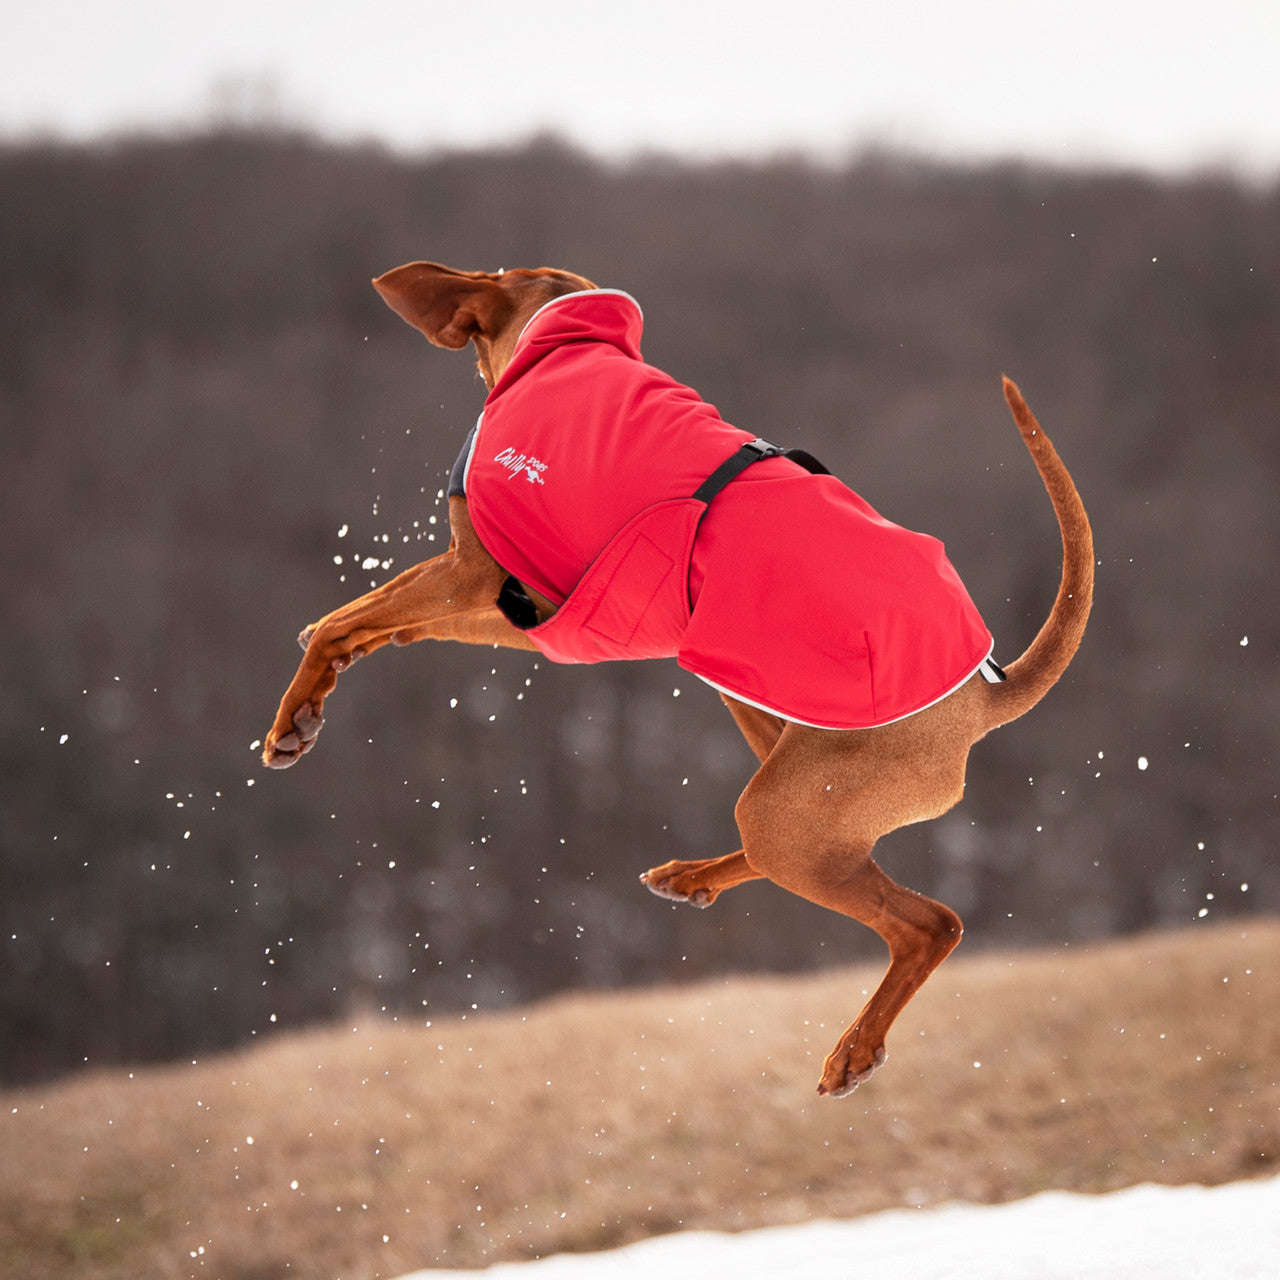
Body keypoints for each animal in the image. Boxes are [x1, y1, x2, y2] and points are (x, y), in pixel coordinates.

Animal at [259, 262, 1090, 1100]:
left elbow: (350, 618)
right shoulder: (529, 605)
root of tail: (986, 691)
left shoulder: (484, 578)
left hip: (789, 802)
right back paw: (695, 878)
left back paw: (855, 1048)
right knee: (828, 860)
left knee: (929, 923)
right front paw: (329, 677)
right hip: (773, 739)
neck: (564, 340)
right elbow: (377, 617)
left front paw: (292, 720)